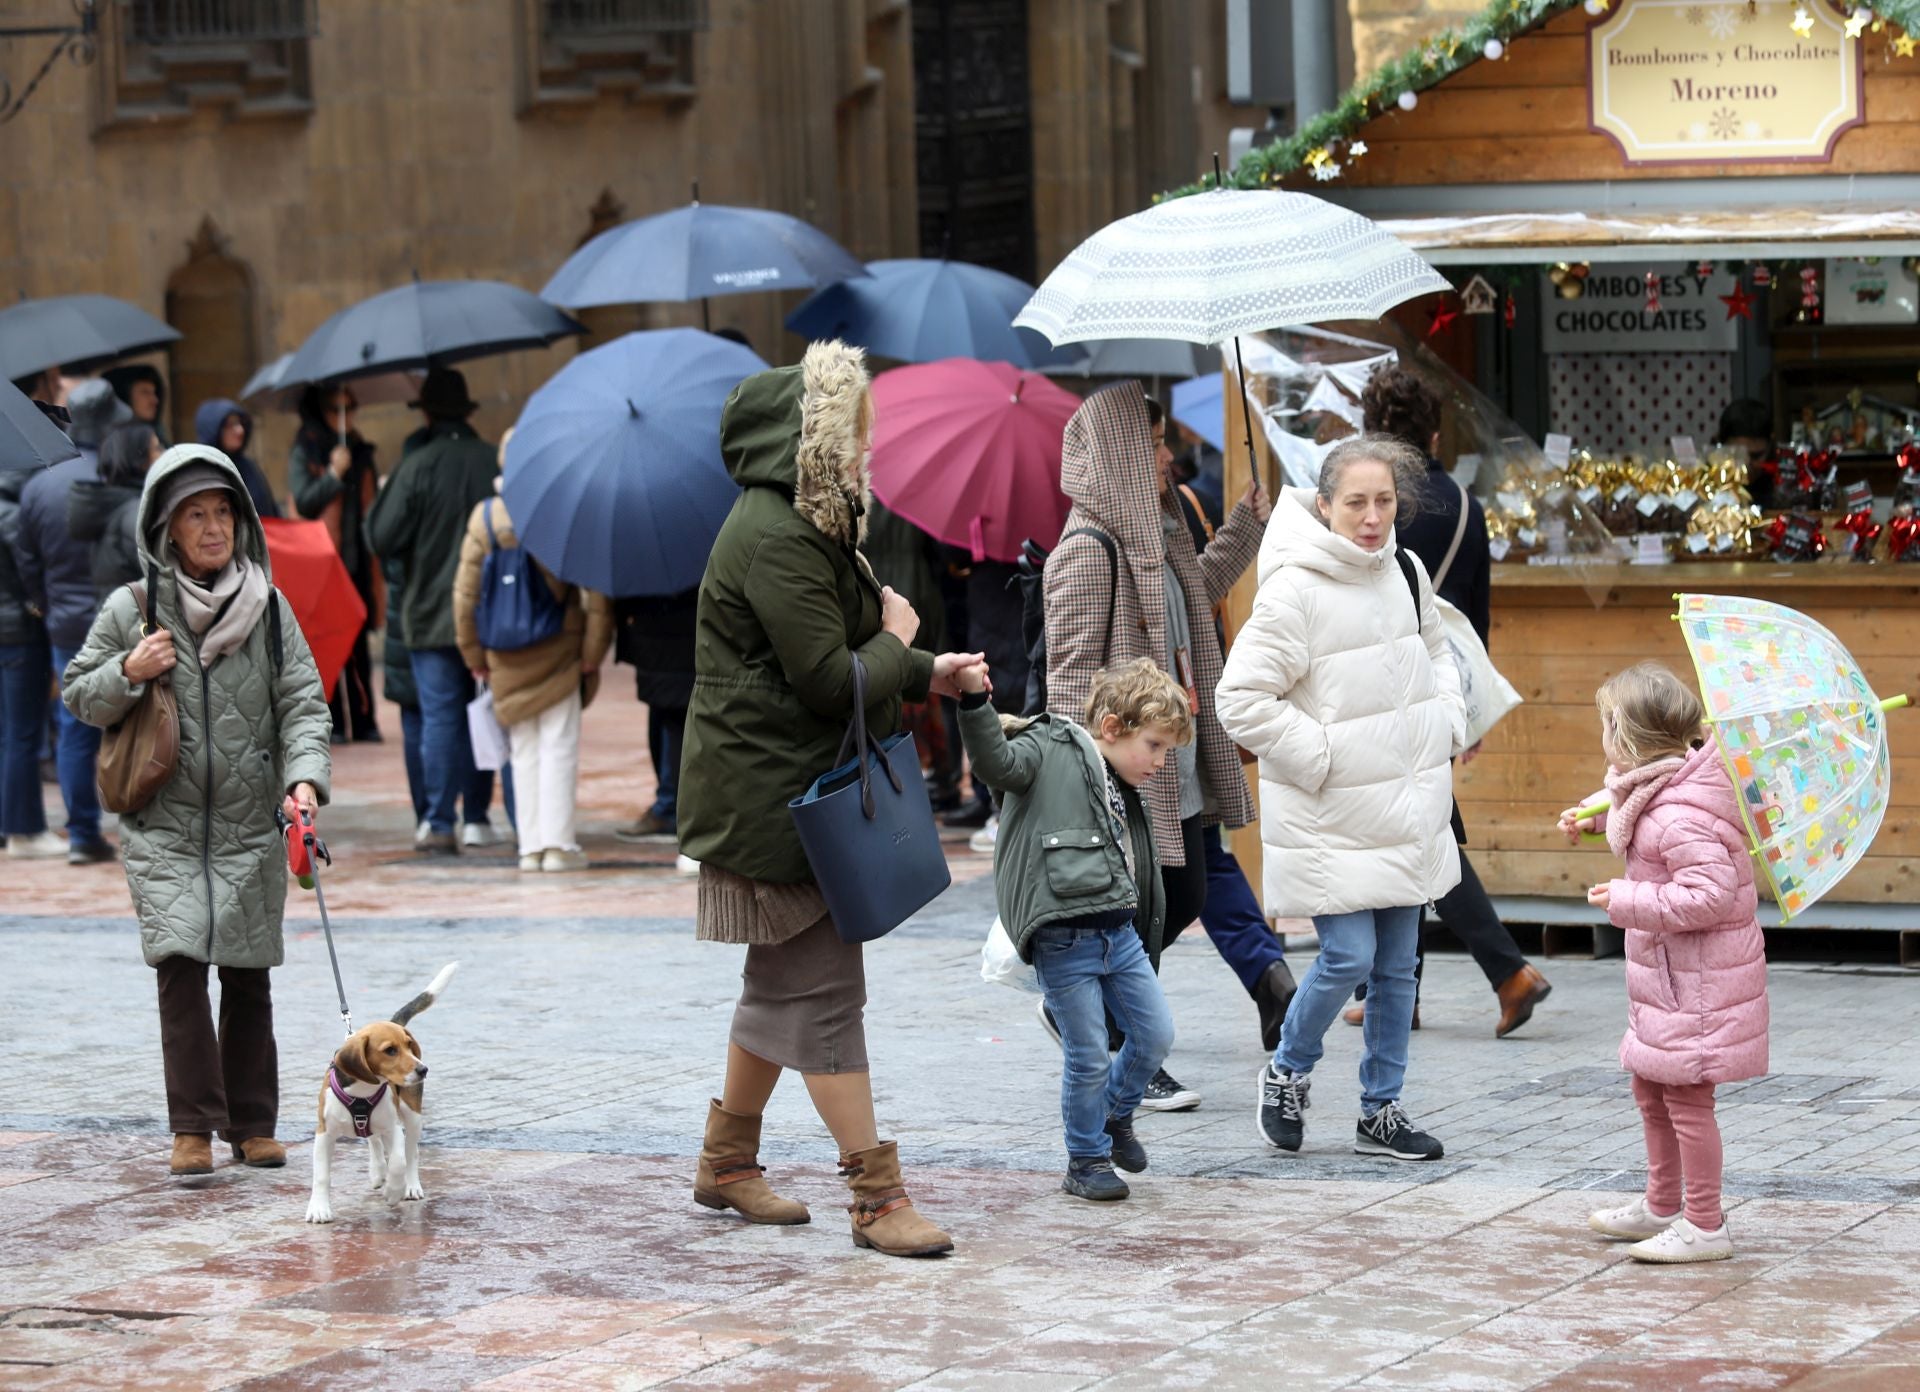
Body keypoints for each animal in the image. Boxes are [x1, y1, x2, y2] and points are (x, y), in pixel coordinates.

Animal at [305, 960, 458, 1221]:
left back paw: (410, 1185)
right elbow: (321, 1176)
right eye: (390, 1050)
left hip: (413, 1116)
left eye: (409, 1045)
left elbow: (398, 1160)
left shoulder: (392, 1127)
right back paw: (377, 1171)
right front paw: (319, 1209)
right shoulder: (324, 1133)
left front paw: (394, 1192)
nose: (423, 1069)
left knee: (411, 1153)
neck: (362, 1091)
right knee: (373, 1140)